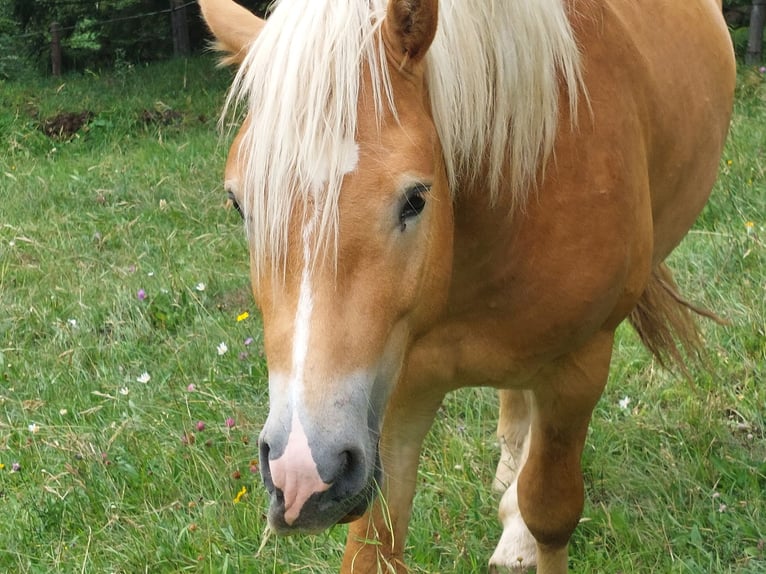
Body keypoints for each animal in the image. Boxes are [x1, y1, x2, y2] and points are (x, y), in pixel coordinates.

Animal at [198, 0, 736, 572]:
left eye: (415, 198)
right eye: (238, 203)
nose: (302, 472)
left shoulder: (579, 370)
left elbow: (551, 512)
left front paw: (526, 528)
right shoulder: (393, 395)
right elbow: (373, 547)